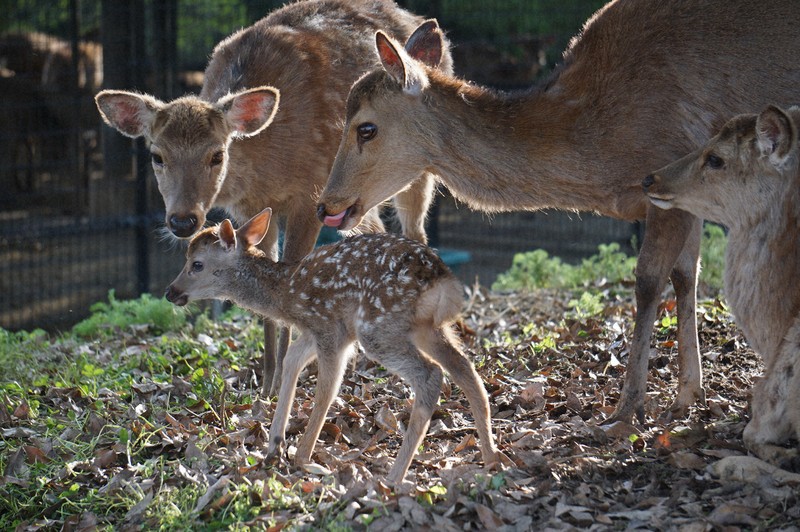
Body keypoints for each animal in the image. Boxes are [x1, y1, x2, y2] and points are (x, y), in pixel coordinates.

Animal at [94, 0, 453, 396]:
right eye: (157, 156)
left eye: (217, 154)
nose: (182, 220)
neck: (265, 164)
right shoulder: (251, 208)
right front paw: (265, 384)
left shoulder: (310, 193)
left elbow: (292, 275)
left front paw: (284, 378)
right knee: (375, 232)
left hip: (416, 169)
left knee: (416, 232)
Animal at [165, 208, 499, 485]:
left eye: (197, 264)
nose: (171, 291)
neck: (286, 295)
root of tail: (442, 281)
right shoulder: (318, 331)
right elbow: (291, 360)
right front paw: (274, 446)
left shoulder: (329, 329)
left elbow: (326, 388)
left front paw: (303, 459)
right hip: (427, 328)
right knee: (464, 368)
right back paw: (492, 458)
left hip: (378, 327)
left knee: (430, 374)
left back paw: (394, 477)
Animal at [315, 1, 800, 424]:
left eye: (366, 128)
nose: (326, 205)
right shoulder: (680, 196)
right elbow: (686, 277)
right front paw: (687, 396)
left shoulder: (668, 174)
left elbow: (647, 282)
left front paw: (626, 410)